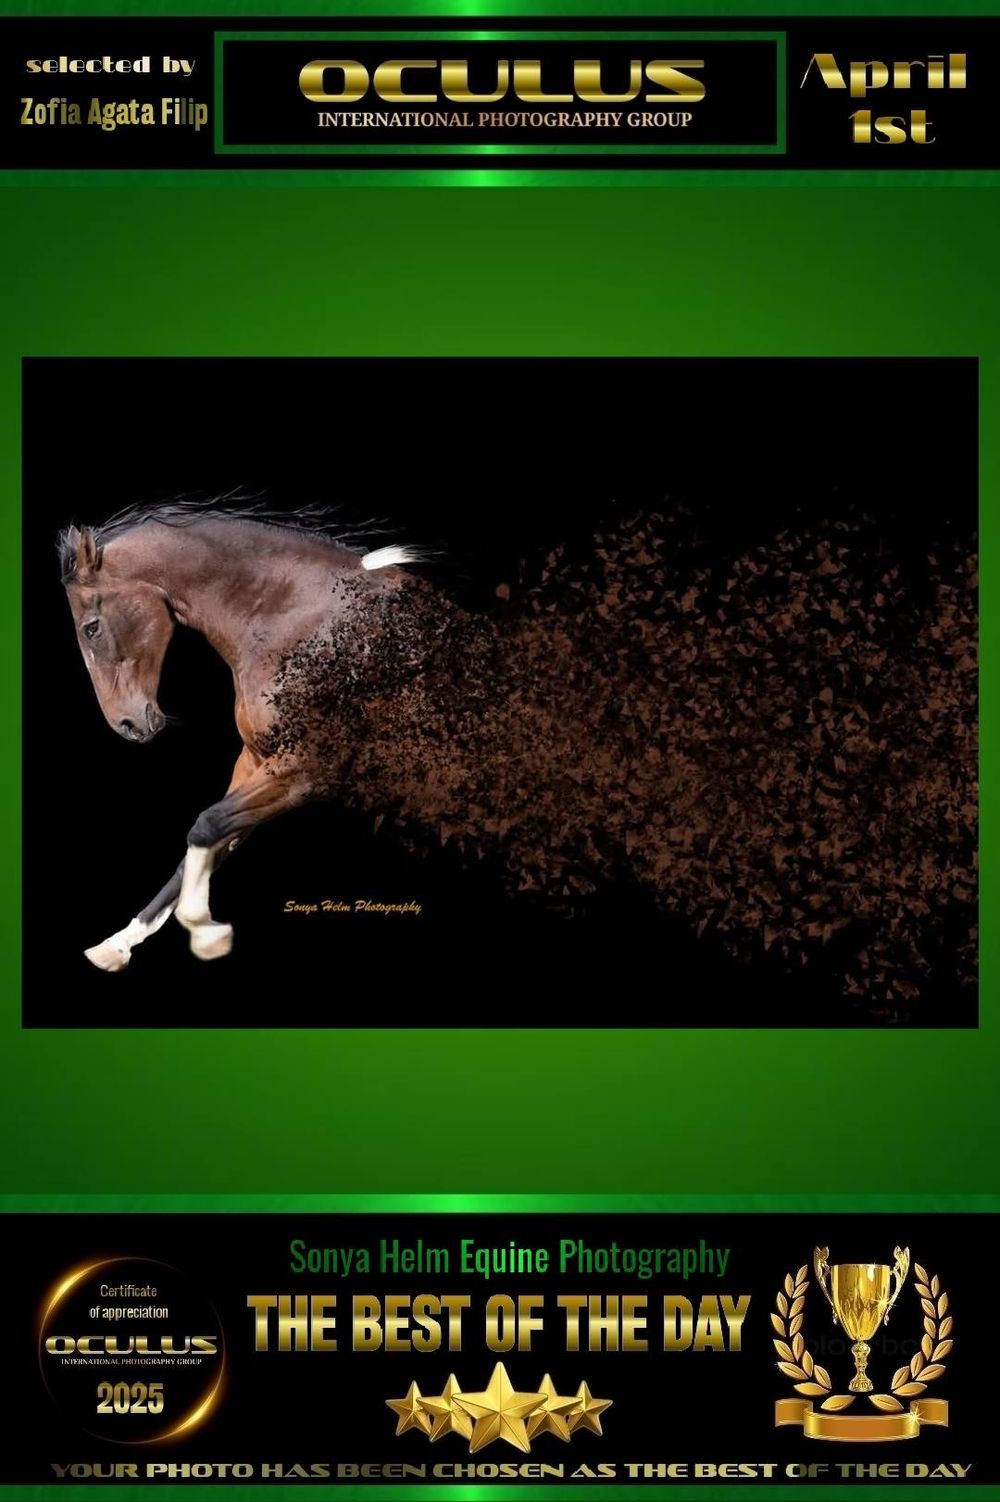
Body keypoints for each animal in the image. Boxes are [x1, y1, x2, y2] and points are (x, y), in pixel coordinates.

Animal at [59, 500, 421, 972]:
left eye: (91, 628)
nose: (127, 725)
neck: (304, 619)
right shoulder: (256, 762)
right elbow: (203, 843)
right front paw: (117, 943)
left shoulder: (307, 770)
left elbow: (206, 825)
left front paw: (204, 930)